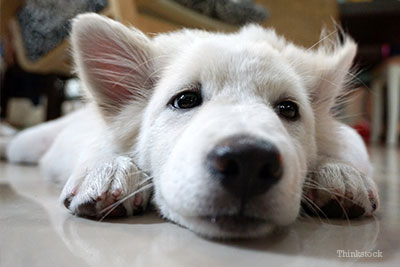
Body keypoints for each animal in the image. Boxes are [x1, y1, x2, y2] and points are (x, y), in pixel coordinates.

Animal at [5, 13, 378, 239]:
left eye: (288, 109)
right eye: (184, 100)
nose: (249, 161)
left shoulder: (348, 138)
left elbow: (346, 150)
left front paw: (339, 174)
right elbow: (101, 148)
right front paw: (108, 170)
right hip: (32, 143)